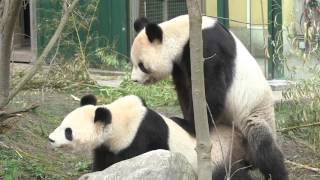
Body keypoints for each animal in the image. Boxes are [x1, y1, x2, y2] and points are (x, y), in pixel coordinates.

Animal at [48, 95, 252, 179]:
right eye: (62, 123)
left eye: (68, 131)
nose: (50, 139)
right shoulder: (106, 146)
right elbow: (102, 163)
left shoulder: (141, 138)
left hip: (219, 157)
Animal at [130, 14, 288, 179]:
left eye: (141, 65)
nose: (134, 80)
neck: (182, 33)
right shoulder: (180, 65)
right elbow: (186, 90)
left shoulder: (208, 48)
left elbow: (211, 90)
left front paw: (189, 125)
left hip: (254, 112)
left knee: (265, 149)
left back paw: (277, 172)